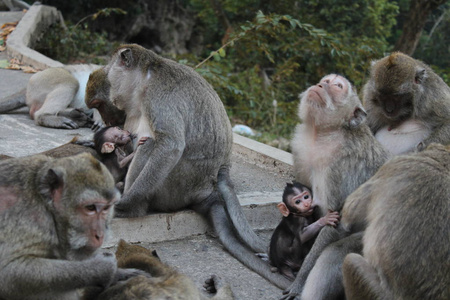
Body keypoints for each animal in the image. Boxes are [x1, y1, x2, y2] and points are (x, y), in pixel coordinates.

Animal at [99, 44, 292, 288]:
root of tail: (205, 192)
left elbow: (170, 145)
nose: (111, 96)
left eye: (110, 76)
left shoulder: (159, 97)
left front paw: (126, 201)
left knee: (150, 145)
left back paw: (135, 207)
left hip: (174, 189)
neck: (146, 78)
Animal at [284, 74, 390, 298]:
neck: (325, 133)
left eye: (337, 86)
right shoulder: (302, 148)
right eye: (325, 80)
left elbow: (338, 221)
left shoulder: (342, 168)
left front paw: (298, 282)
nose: (320, 85)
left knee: (334, 253)